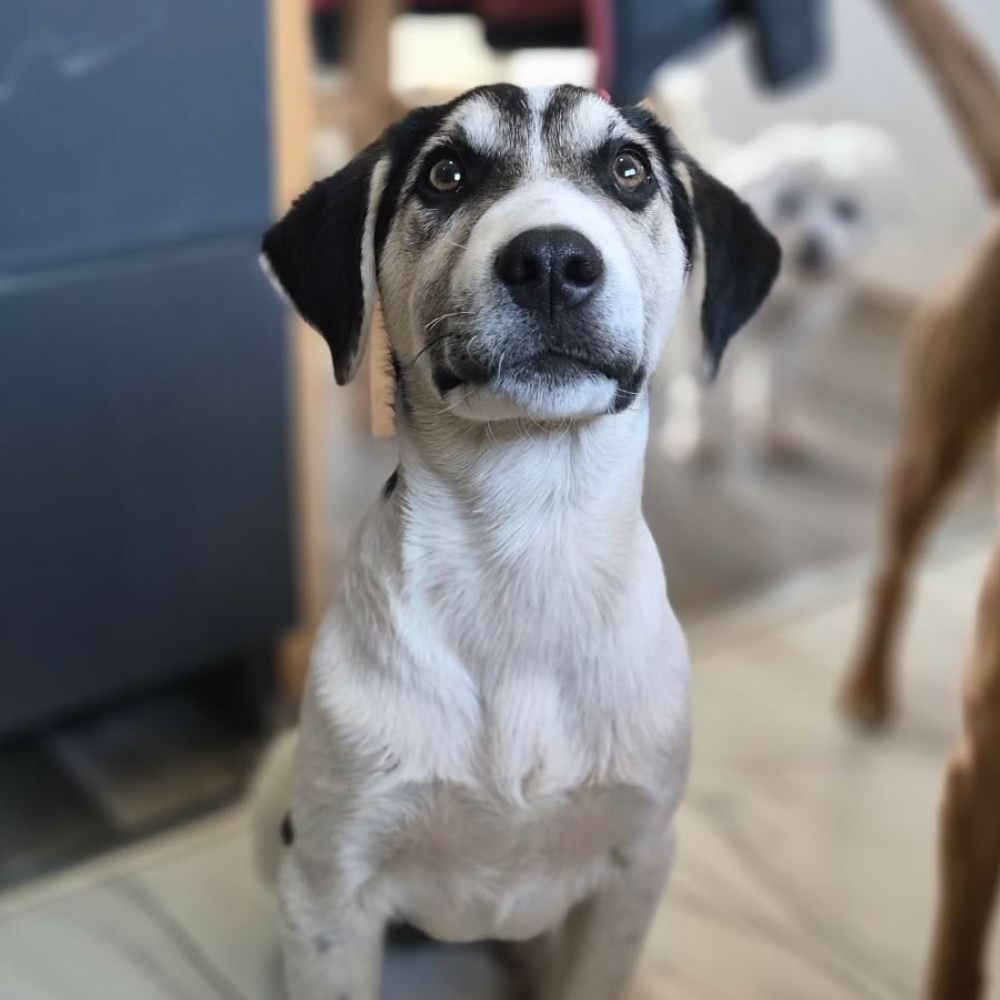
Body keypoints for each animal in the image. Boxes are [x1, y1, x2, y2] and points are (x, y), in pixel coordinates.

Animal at [257, 83, 779, 1000]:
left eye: (630, 170)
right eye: (446, 173)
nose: (551, 262)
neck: (529, 538)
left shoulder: (637, 858)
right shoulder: (331, 881)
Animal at [660, 121, 899, 462]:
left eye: (846, 209)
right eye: (788, 202)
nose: (813, 246)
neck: (782, 293)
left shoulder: (795, 339)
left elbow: (782, 386)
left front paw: (778, 430)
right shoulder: (701, 337)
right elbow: (705, 388)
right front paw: (699, 437)